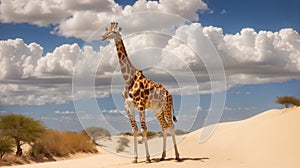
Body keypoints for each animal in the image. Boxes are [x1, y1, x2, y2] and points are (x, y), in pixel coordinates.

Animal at [102, 22, 179, 163]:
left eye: (114, 32)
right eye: (107, 30)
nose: (103, 37)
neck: (128, 79)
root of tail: (169, 93)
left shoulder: (140, 105)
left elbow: (143, 129)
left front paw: (148, 158)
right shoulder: (128, 106)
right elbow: (134, 130)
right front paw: (135, 158)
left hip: (167, 107)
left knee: (171, 126)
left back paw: (177, 156)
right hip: (157, 110)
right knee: (164, 127)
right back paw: (162, 156)